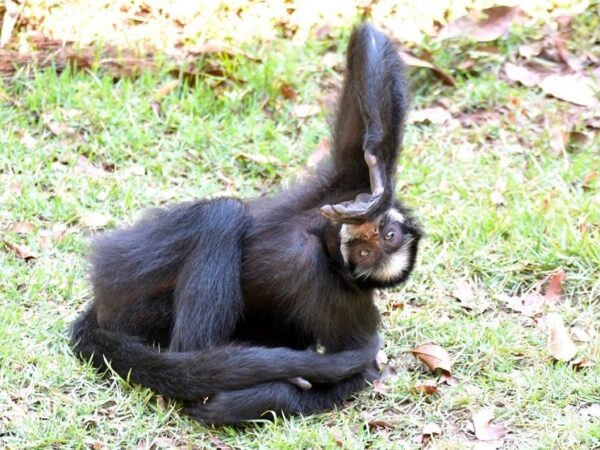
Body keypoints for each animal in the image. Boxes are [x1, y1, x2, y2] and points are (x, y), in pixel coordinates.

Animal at [71, 24, 422, 426]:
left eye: (366, 253)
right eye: (384, 234)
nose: (366, 234)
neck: (319, 242)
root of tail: (100, 308)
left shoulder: (345, 301)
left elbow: (359, 369)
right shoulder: (343, 188)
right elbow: (368, 55)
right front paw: (379, 166)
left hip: (130, 294)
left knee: (220, 219)